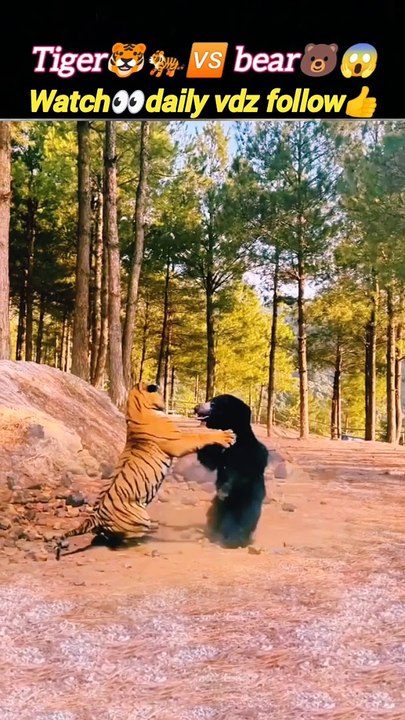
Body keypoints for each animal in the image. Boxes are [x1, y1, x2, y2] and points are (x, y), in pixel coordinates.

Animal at [55, 382, 235, 559]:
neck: (137, 408)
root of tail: (96, 517)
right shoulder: (178, 441)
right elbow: (199, 435)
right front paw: (226, 436)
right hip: (140, 517)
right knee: (122, 543)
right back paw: (147, 546)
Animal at [195, 394, 269, 549]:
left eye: (213, 403)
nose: (196, 407)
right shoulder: (220, 452)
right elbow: (209, 459)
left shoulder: (250, 454)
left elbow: (241, 473)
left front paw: (225, 489)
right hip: (218, 505)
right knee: (215, 512)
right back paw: (213, 532)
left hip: (248, 498)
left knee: (245, 517)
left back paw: (236, 539)